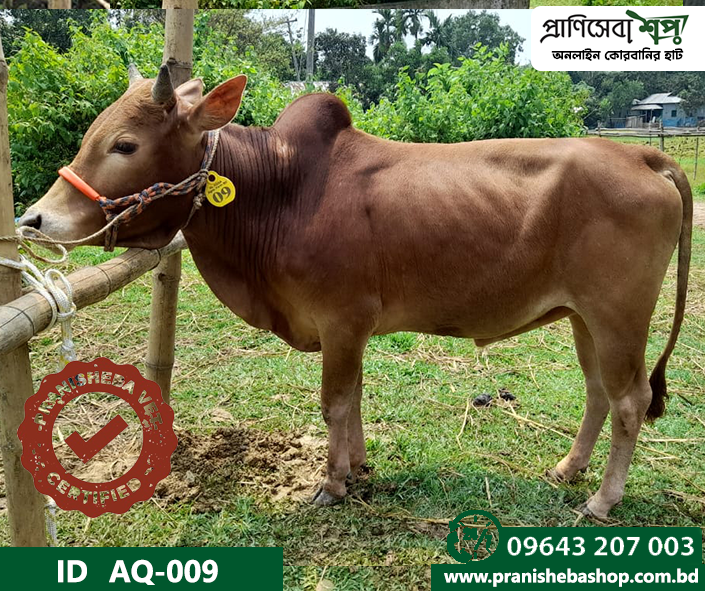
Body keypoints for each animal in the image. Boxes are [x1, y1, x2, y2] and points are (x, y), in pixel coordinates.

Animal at [19, 66, 692, 521]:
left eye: (125, 145)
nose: (34, 219)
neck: (280, 190)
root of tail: (642, 155)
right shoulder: (352, 328)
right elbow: (356, 397)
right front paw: (360, 465)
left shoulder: (341, 321)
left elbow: (335, 402)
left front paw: (333, 484)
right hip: (583, 318)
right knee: (599, 392)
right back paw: (568, 469)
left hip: (618, 317)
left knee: (630, 400)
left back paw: (602, 499)